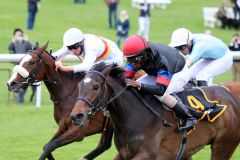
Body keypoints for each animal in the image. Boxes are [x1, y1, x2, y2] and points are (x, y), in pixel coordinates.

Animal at [70, 62, 240, 160]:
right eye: (79, 85)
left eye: (95, 86)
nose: (76, 116)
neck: (134, 116)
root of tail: (231, 96)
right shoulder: (124, 154)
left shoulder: (147, 155)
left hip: (223, 146)